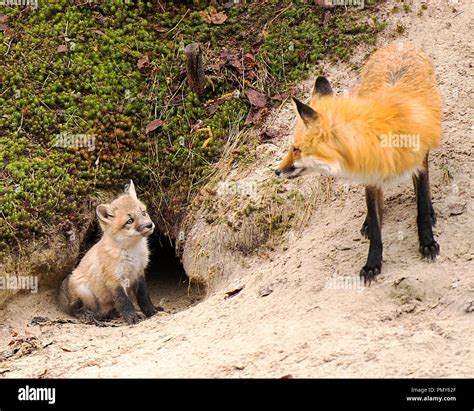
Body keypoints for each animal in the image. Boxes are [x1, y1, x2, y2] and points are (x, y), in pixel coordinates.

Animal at [57, 180, 159, 326]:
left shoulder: (139, 273)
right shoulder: (114, 280)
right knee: (75, 308)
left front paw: (151, 311)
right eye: (129, 221)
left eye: (143, 212)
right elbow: (124, 302)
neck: (133, 252)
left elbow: (144, 296)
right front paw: (133, 317)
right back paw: (87, 315)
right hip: (84, 291)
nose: (149, 225)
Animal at [276, 43, 442, 284]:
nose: (276, 171)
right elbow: (375, 227)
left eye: (296, 149)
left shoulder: (418, 164)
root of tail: (397, 44)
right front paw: (373, 263)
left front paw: (427, 241)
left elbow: (420, 206)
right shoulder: (370, 179)